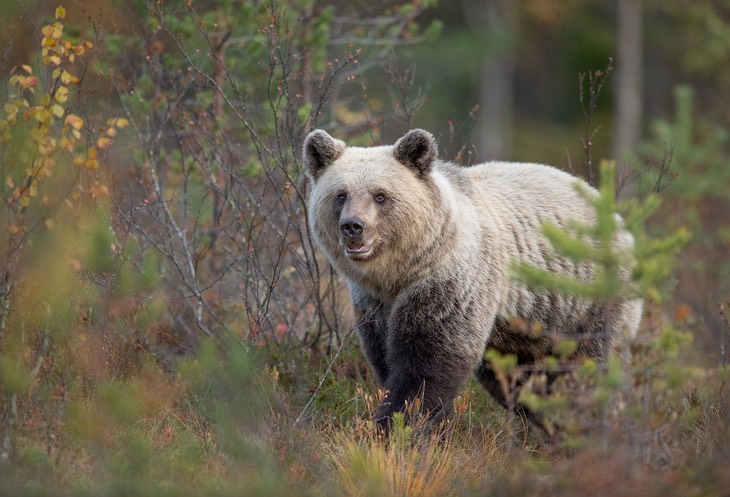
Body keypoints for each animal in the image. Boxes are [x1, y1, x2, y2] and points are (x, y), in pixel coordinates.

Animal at [300, 127, 636, 430]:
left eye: (380, 195)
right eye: (340, 194)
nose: (353, 226)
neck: (400, 273)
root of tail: (616, 216)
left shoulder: (452, 284)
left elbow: (425, 364)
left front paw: (398, 425)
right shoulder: (374, 304)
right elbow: (384, 356)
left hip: (585, 301)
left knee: (587, 369)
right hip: (523, 330)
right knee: (519, 380)